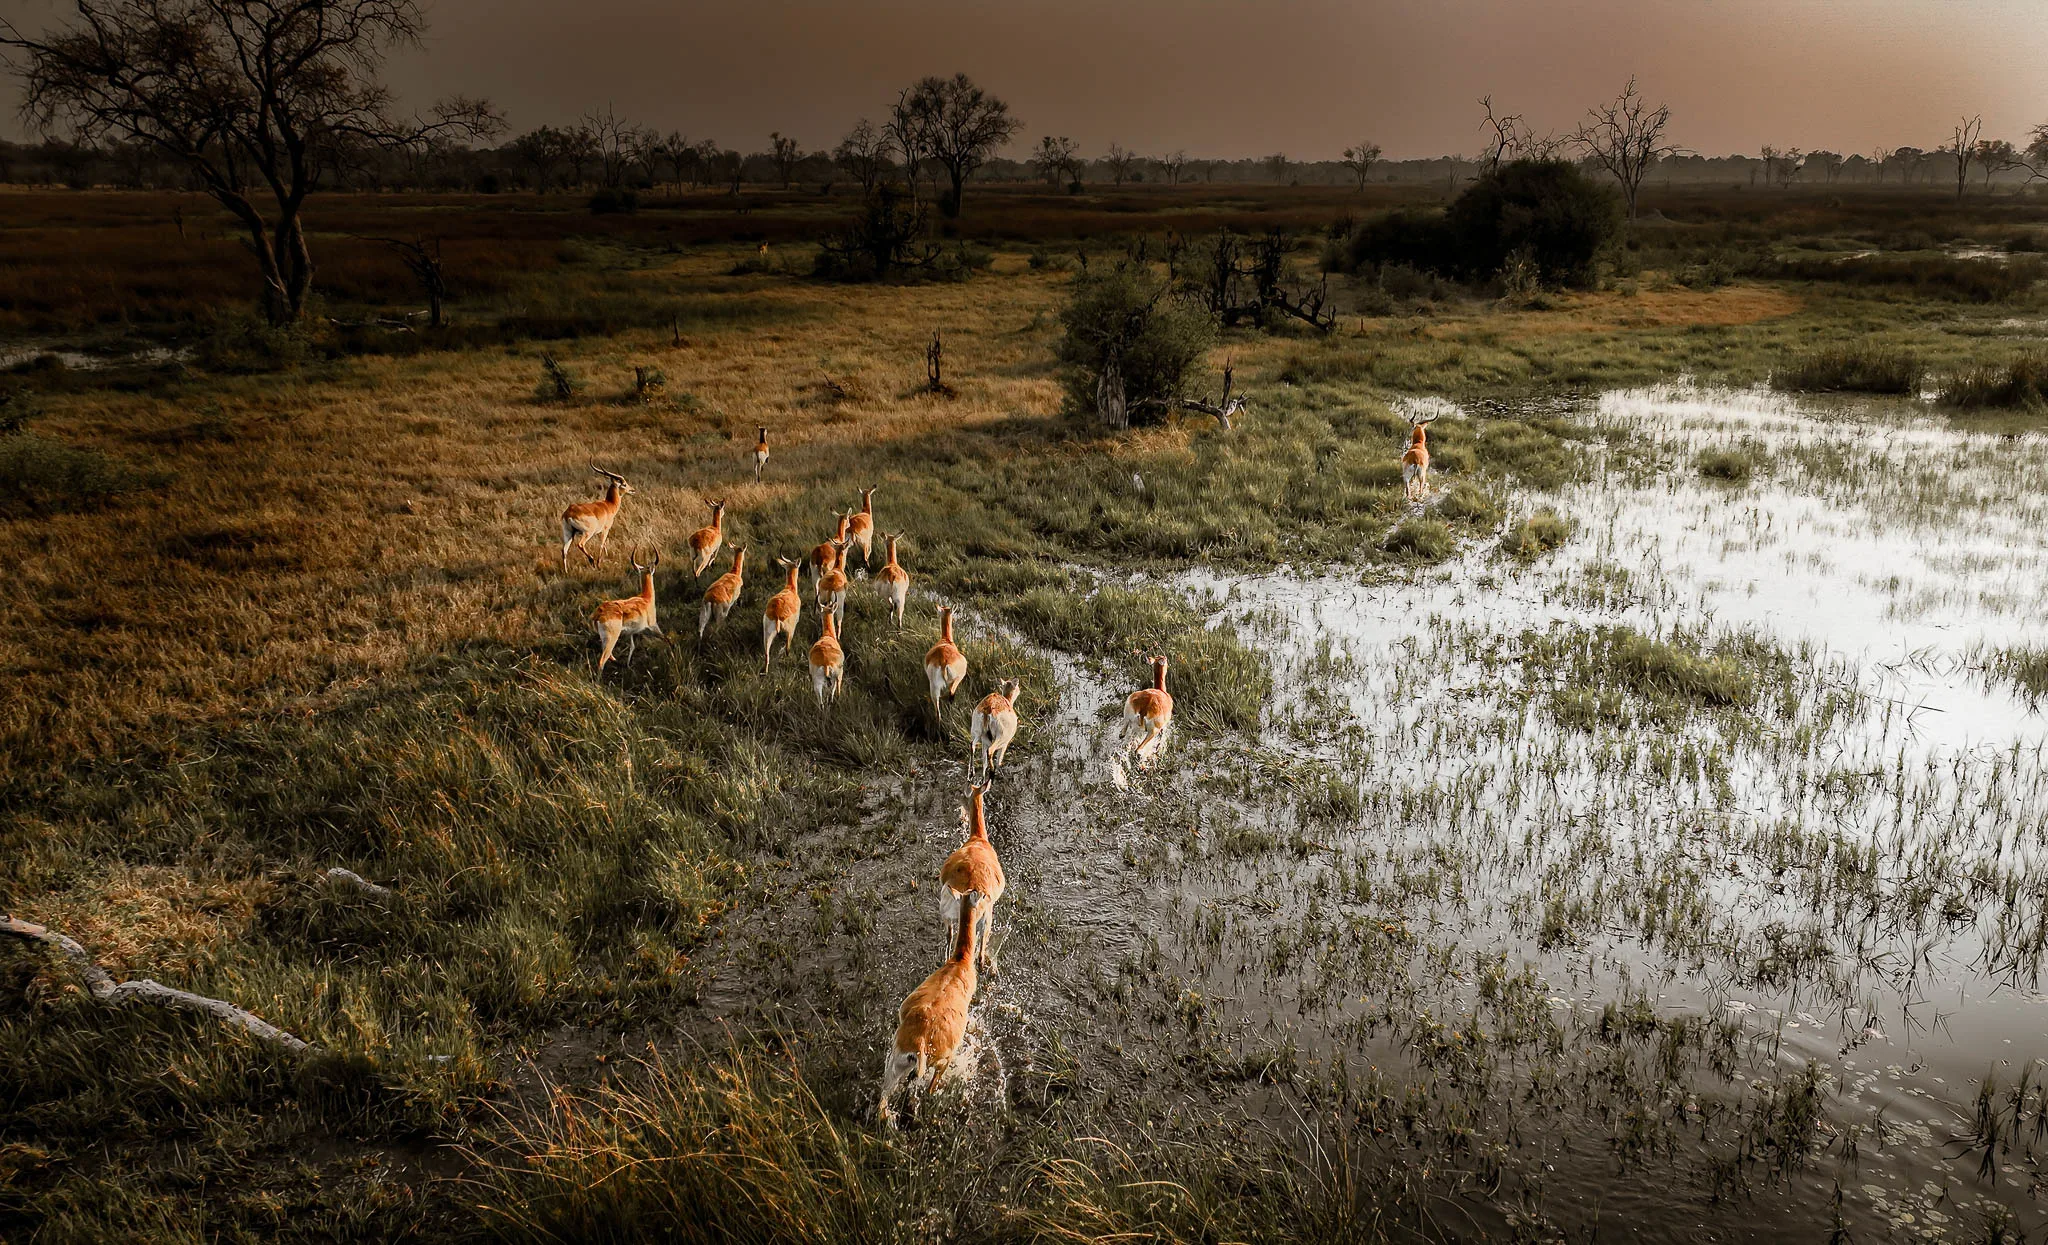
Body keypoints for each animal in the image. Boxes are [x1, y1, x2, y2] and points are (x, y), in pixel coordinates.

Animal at [877, 889, 984, 1127]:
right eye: (976, 894)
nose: (983, 894)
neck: (959, 961)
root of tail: (919, 1043)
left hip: (895, 1062)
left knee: (884, 1095)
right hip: (942, 1061)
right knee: (928, 1087)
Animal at [940, 782, 1005, 968]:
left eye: (965, 792)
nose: (958, 799)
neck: (978, 839)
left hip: (949, 913)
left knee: (951, 936)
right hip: (984, 917)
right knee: (981, 939)